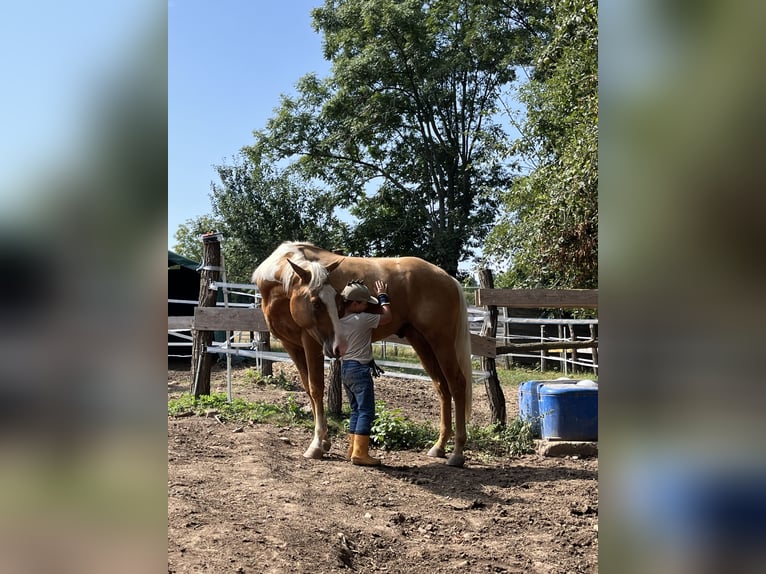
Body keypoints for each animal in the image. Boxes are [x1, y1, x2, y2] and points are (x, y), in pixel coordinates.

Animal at [254, 243, 474, 468]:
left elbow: (316, 390)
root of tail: (447, 278)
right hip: (422, 343)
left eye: (338, 300)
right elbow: (308, 389)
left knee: (457, 384)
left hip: (441, 343)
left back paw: (457, 452)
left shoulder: (311, 343)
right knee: (442, 388)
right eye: (316, 303)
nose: (338, 346)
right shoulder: (292, 346)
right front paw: (324, 442)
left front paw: (316, 445)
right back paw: (439, 446)